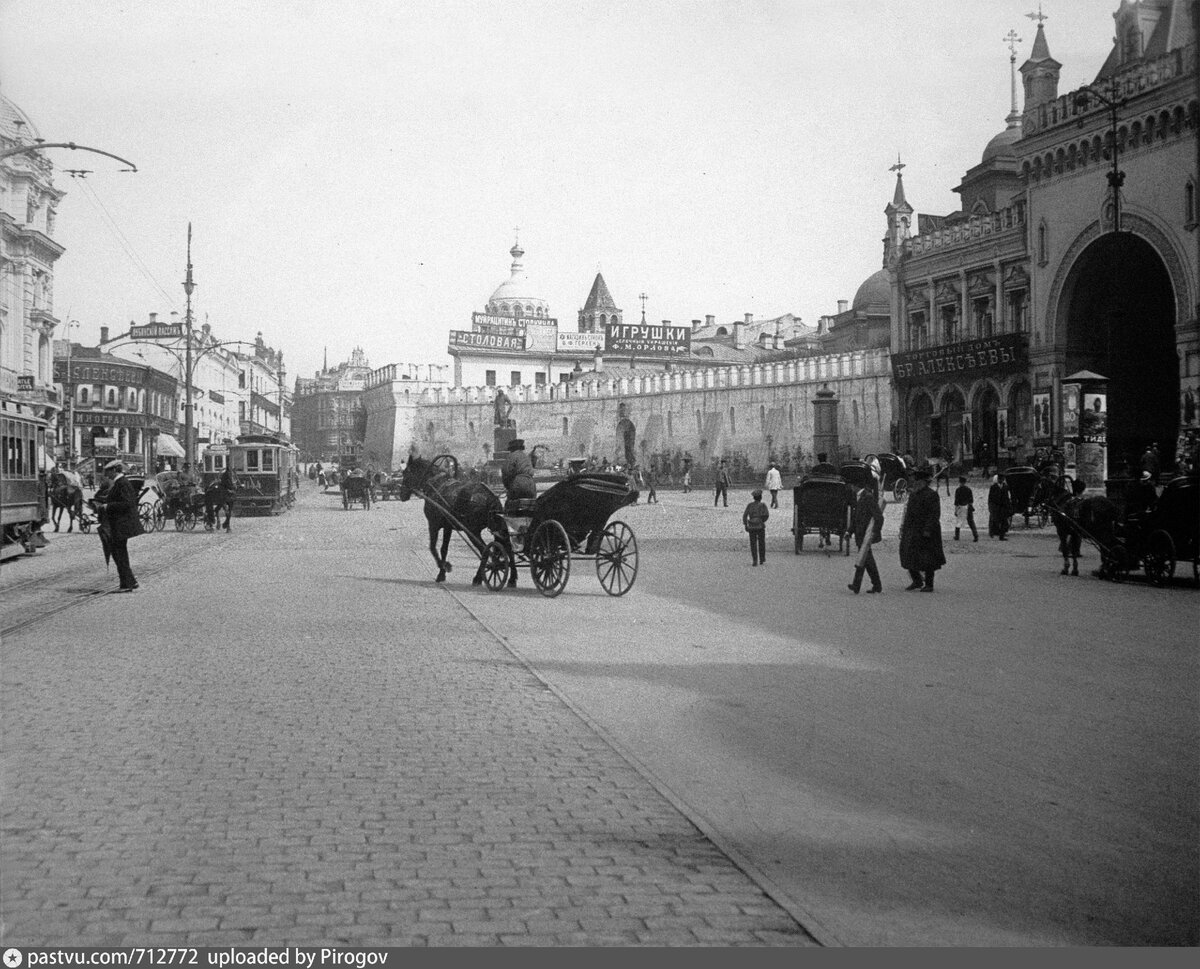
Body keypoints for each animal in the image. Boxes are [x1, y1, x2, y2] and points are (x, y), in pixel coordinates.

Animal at [400, 453, 508, 582]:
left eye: (406, 472)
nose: (401, 494)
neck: (436, 484)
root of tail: (490, 497)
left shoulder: (433, 524)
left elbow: (433, 547)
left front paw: (443, 567)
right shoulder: (448, 527)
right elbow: (444, 549)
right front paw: (442, 571)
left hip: (472, 530)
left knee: (485, 551)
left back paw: (478, 577)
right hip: (494, 526)